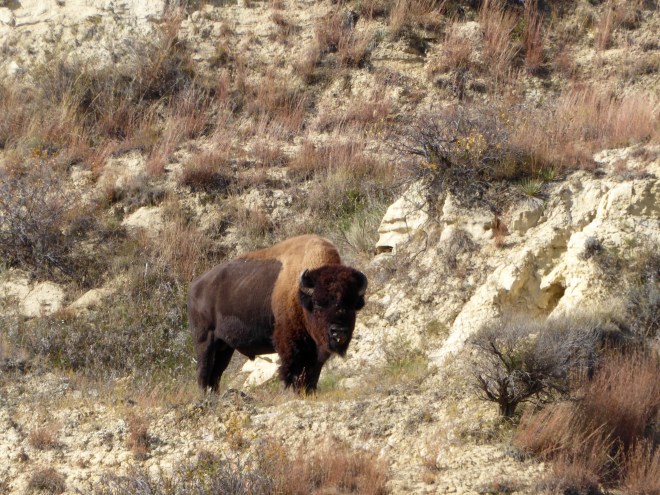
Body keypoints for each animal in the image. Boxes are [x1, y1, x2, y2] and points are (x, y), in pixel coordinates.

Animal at [188, 235, 367, 393]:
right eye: (317, 303)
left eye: (352, 304)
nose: (339, 331)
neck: (301, 295)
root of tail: (194, 287)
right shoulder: (290, 344)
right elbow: (294, 371)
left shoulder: (315, 350)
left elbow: (312, 374)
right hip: (205, 341)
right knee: (203, 372)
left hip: (225, 347)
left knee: (215, 375)